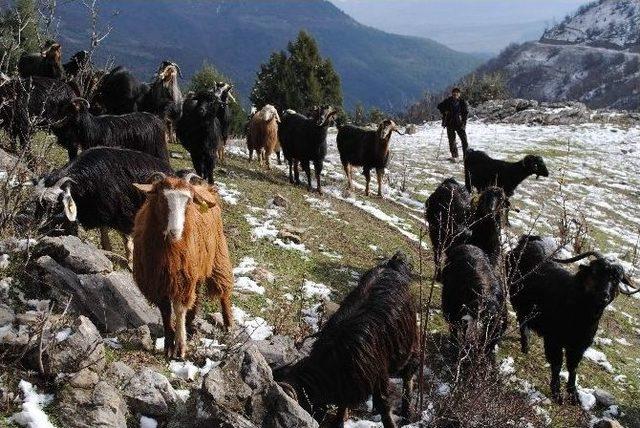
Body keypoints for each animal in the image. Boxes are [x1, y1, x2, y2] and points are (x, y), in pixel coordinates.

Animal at [35, 146, 172, 260]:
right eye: (38, 203)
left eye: (56, 203)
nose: (39, 229)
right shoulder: (101, 210)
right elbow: (104, 232)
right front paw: (108, 250)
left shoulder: (122, 212)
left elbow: (127, 239)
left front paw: (131, 262)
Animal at [132, 174, 232, 358]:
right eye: (161, 198)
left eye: (189, 201)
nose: (175, 232)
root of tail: (206, 188)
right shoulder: (158, 281)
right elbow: (165, 310)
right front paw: (168, 343)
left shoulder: (182, 278)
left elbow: (179, 310)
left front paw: (180, 346)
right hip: (196, 268)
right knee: (197, 294)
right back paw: (191, 323)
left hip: (217, 255)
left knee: (223, 290)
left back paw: (228, 324)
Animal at [272, 252, 418, 426]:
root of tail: (392, 264)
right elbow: (343, 403)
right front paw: (339, 421)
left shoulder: (378, 378)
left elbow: (384, 407)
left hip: (407, 344)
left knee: (409, 371)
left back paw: (408, 413)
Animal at [508, 237, 636, 404]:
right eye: (595, 272)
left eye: (617, 280)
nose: (604, 295)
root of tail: (529, 240)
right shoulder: (553, 339)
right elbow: (557, 364)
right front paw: (557, 393)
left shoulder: (579, 346)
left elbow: (573, 367)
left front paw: (573, 394)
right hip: (517, 298)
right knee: (521, 319)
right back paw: (525, 346)